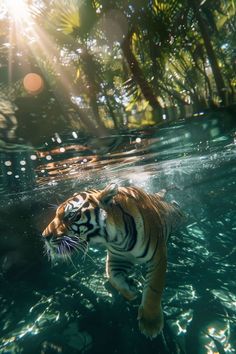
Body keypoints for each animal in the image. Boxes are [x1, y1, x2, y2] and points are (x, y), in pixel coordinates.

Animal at [42, 184, 183, 338]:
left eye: (71, 216)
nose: (44, 236)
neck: (115, 239)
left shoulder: (158, 257)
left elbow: (153, 288)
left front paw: (150, 323)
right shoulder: (117, 259)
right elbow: (113, 278)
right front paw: (131, 291)